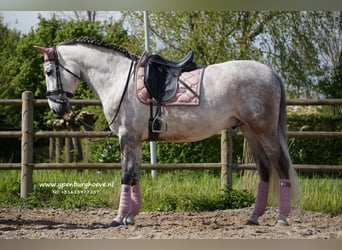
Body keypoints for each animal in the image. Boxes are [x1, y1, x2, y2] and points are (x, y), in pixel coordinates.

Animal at [33, 38, 300, 228]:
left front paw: (118, 219)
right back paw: (254, 217)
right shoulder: (136, 141)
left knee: (280, 166)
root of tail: (272, 73)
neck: (118, 79)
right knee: (264, 170)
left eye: (48, 72)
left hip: (264, 131)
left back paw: (282, 218)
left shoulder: (127, 138)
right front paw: (131, 217)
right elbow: (135, 176)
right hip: (250, 132)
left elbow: (126, 176)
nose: (57, 107)